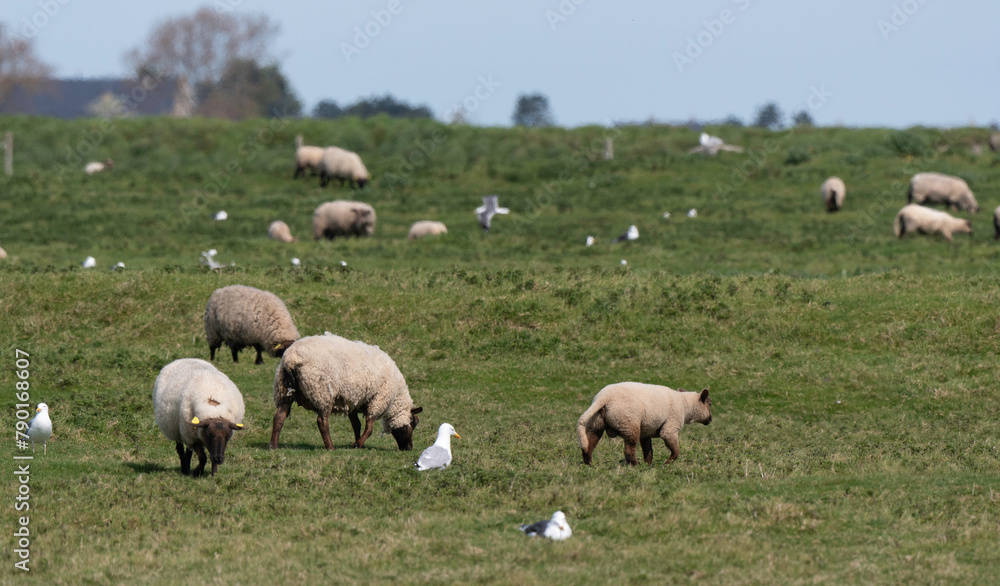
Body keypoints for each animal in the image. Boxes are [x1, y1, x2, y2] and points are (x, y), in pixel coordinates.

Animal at [270, 330, 422, 450]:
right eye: (414, 423)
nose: (409, 448)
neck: (396, 397)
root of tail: (291, 359)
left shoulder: (353, 401)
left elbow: (356, 425)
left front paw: (358, 443)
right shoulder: (378, 401)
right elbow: (369, 428)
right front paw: (358, 444)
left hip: (284, 391)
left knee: (279, 417)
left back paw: (273, 446)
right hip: (323, 393)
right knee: (322, 422)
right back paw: (330, 447)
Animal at [576, 378, 716, 466]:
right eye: (709, 403)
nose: (710, 420)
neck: (685, 405)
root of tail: (603, 397)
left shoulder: (646, 431)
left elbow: (649, 451)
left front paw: (649, 466)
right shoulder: (670, 428)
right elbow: (675, 451)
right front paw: (667, 464)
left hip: (596, 423)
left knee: (588, 445)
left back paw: (589, 465)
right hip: (629, 424)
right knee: (629, 451)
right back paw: (636, 466)